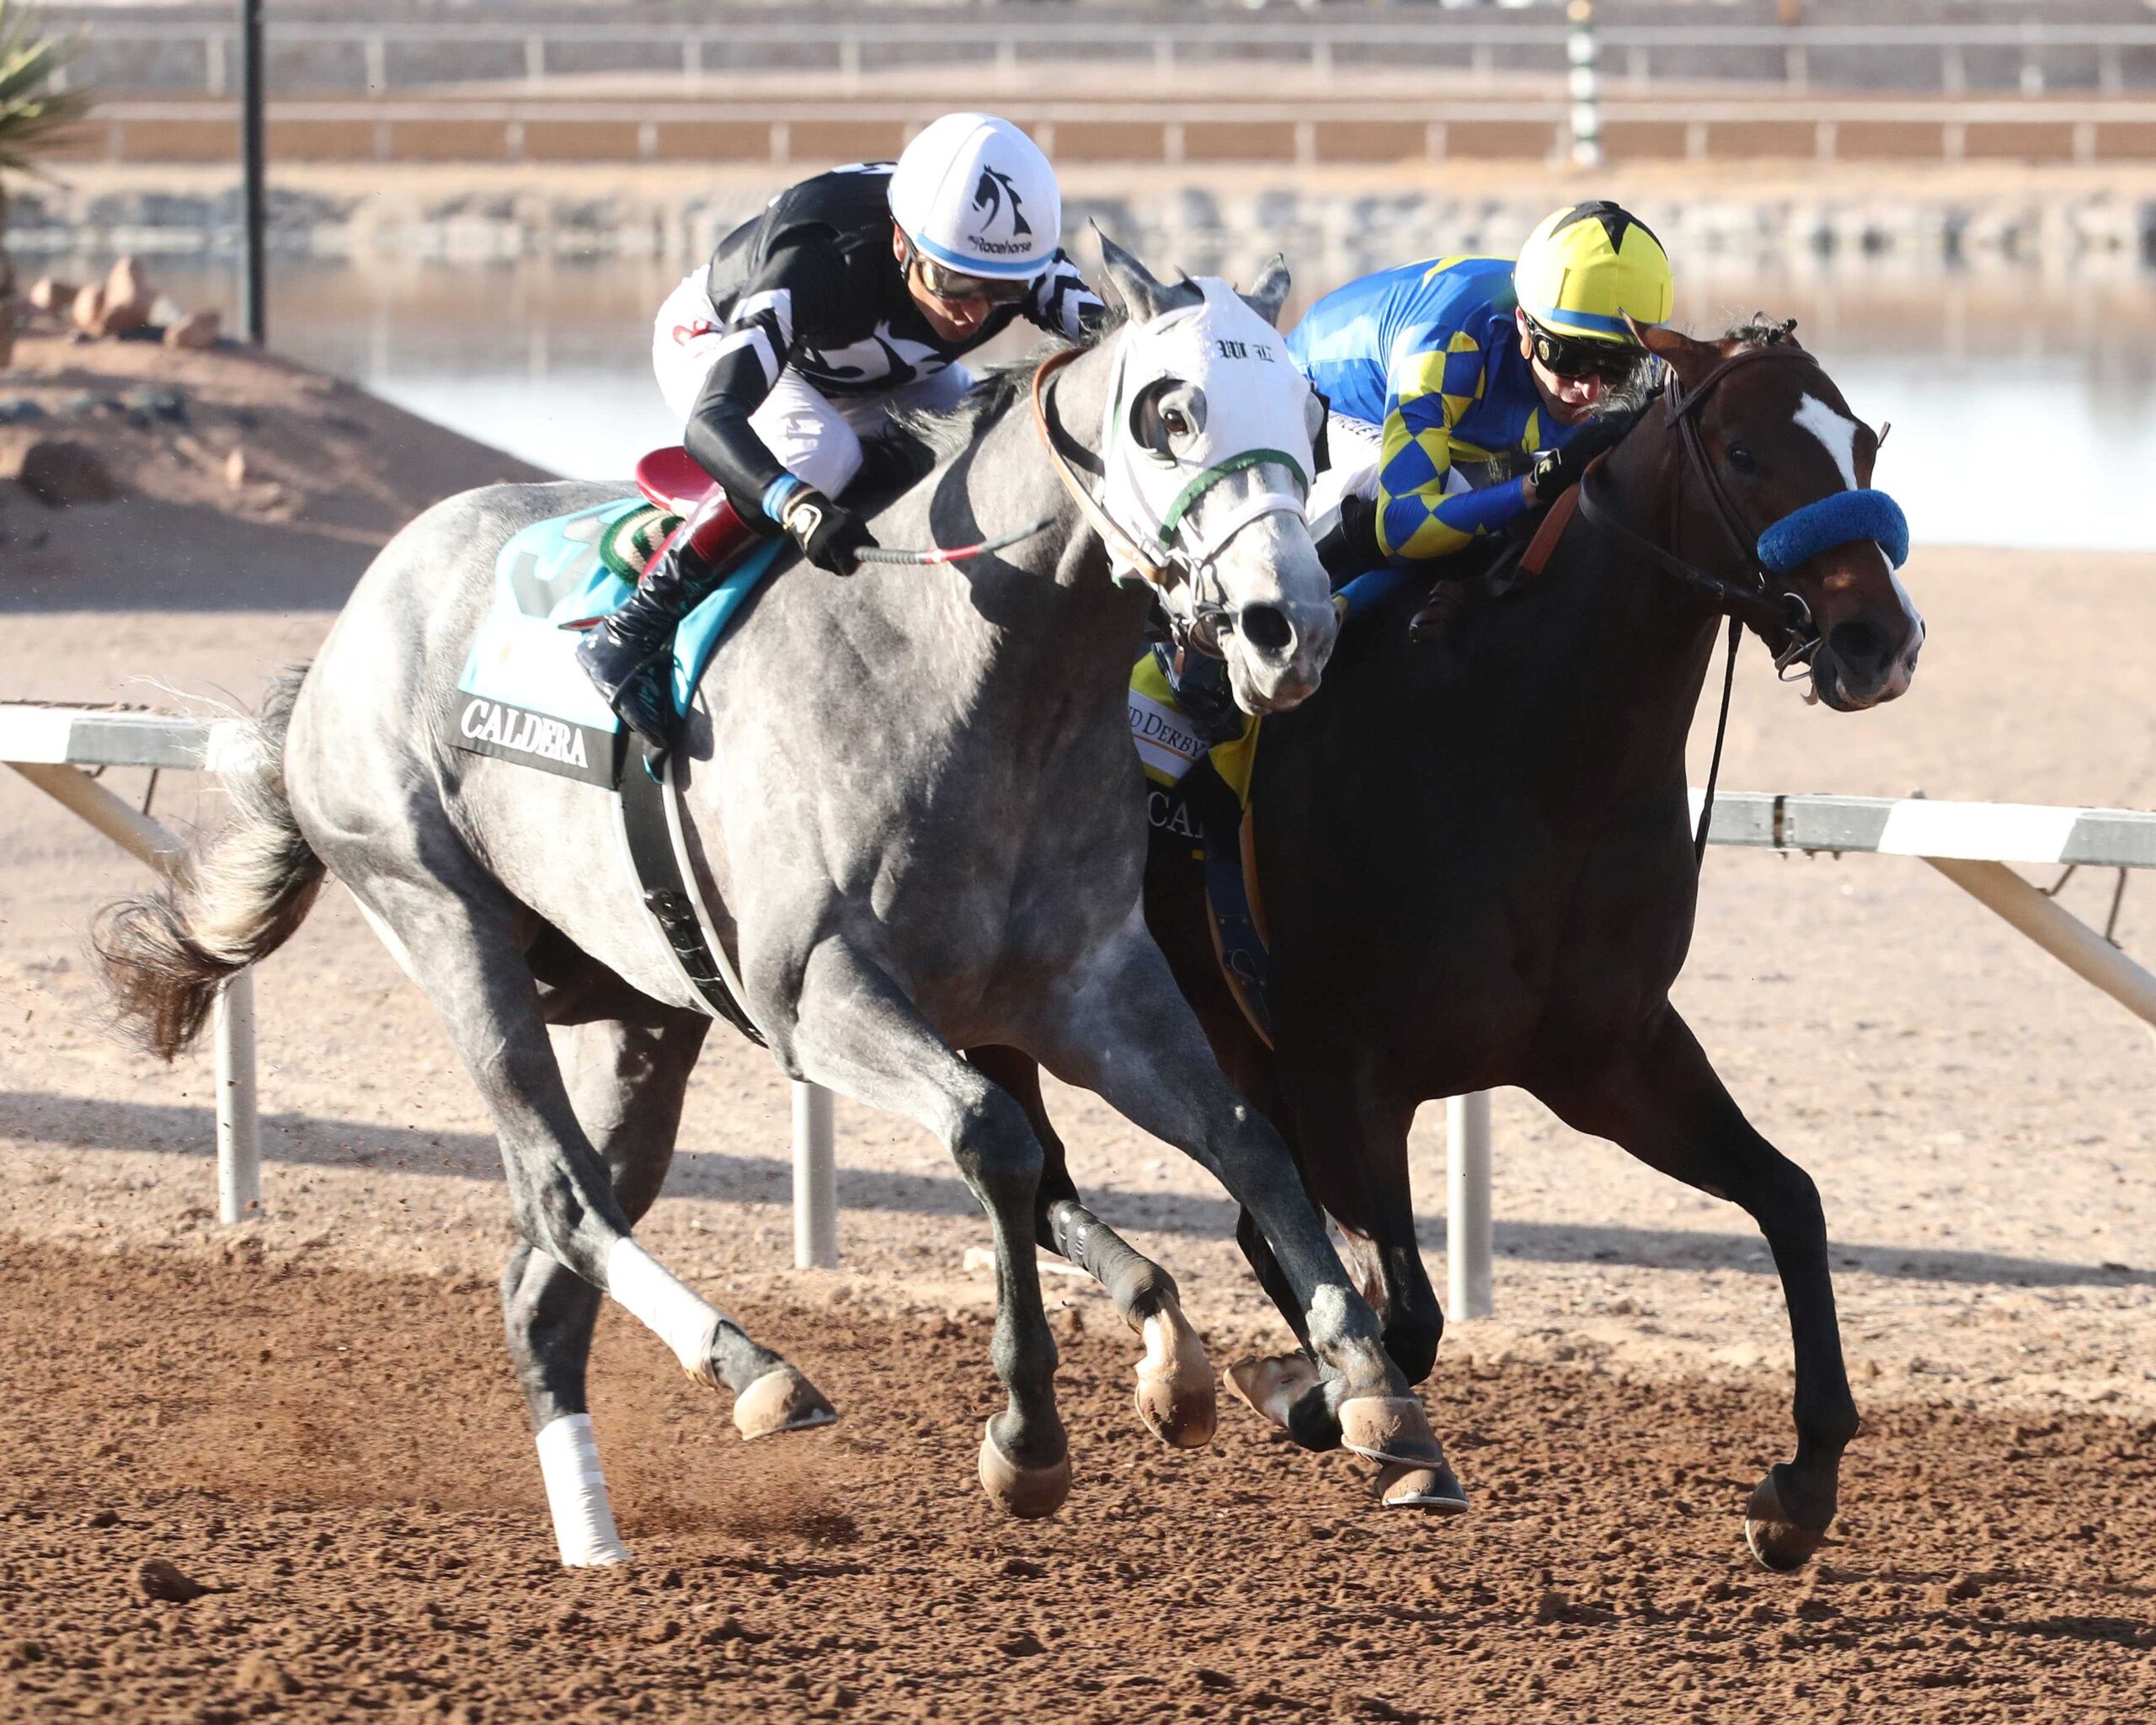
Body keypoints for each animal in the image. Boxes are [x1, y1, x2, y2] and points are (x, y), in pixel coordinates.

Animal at [92, 238, 1466, 1566]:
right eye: (1170, 409)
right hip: (444, 918)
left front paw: (1376, 1402)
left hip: (643, 1007)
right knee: (560, 1197)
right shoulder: (822, 995)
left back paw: (595, 1535)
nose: (1289, 629)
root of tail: (343, 636)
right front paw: (1028, 1436)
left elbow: (1244, 1139)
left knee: (546, 1272)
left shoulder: (1089, 986)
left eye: (1308, 410)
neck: (976, 669)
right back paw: (756, 1373)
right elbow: (998, 1143)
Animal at [978, 318, 1925, 1569]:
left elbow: (1792, 1200)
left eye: (1861, 441)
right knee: (1037, 1172)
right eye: (1742, 450)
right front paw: (1325, 1399)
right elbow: (1410, 1312)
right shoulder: (1344, 1067)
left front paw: (1802, 1482)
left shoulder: (1606, 1058)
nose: (1880, 640)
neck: (1530, 752)